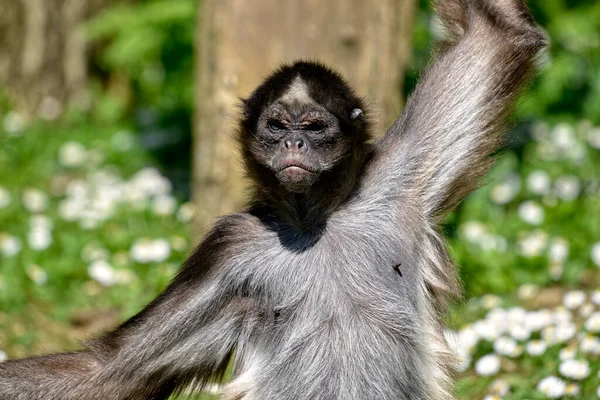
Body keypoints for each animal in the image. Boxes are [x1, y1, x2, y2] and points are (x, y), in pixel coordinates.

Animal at [0, 0, 548, 398]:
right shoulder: (229, 246)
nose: (294, 145)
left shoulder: (393, 181)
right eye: (277, 126)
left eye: (314, 128)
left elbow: (494, 31)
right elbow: (109, 371)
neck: (312, 225)